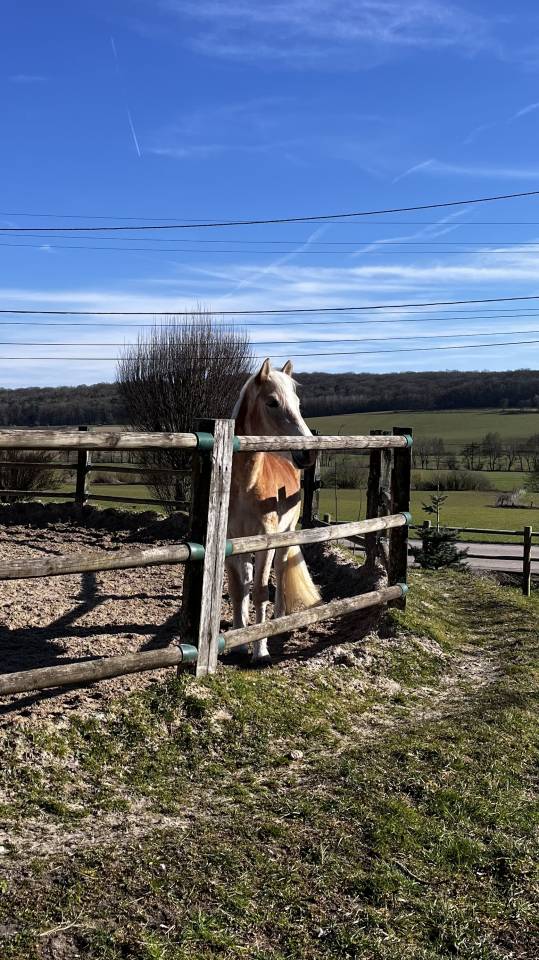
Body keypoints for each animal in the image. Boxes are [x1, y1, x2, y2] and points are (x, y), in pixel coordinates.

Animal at [226, 357, 320, 666]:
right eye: (272, 402)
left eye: (298, 402)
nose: (308, 453)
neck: (245, 484)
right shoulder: (230, 541)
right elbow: (239, 589)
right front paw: (239, 643)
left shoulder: (265, 541)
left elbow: (260, 591)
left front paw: (260, 649)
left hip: (285, 536)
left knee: (280, 571)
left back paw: (278, 621)